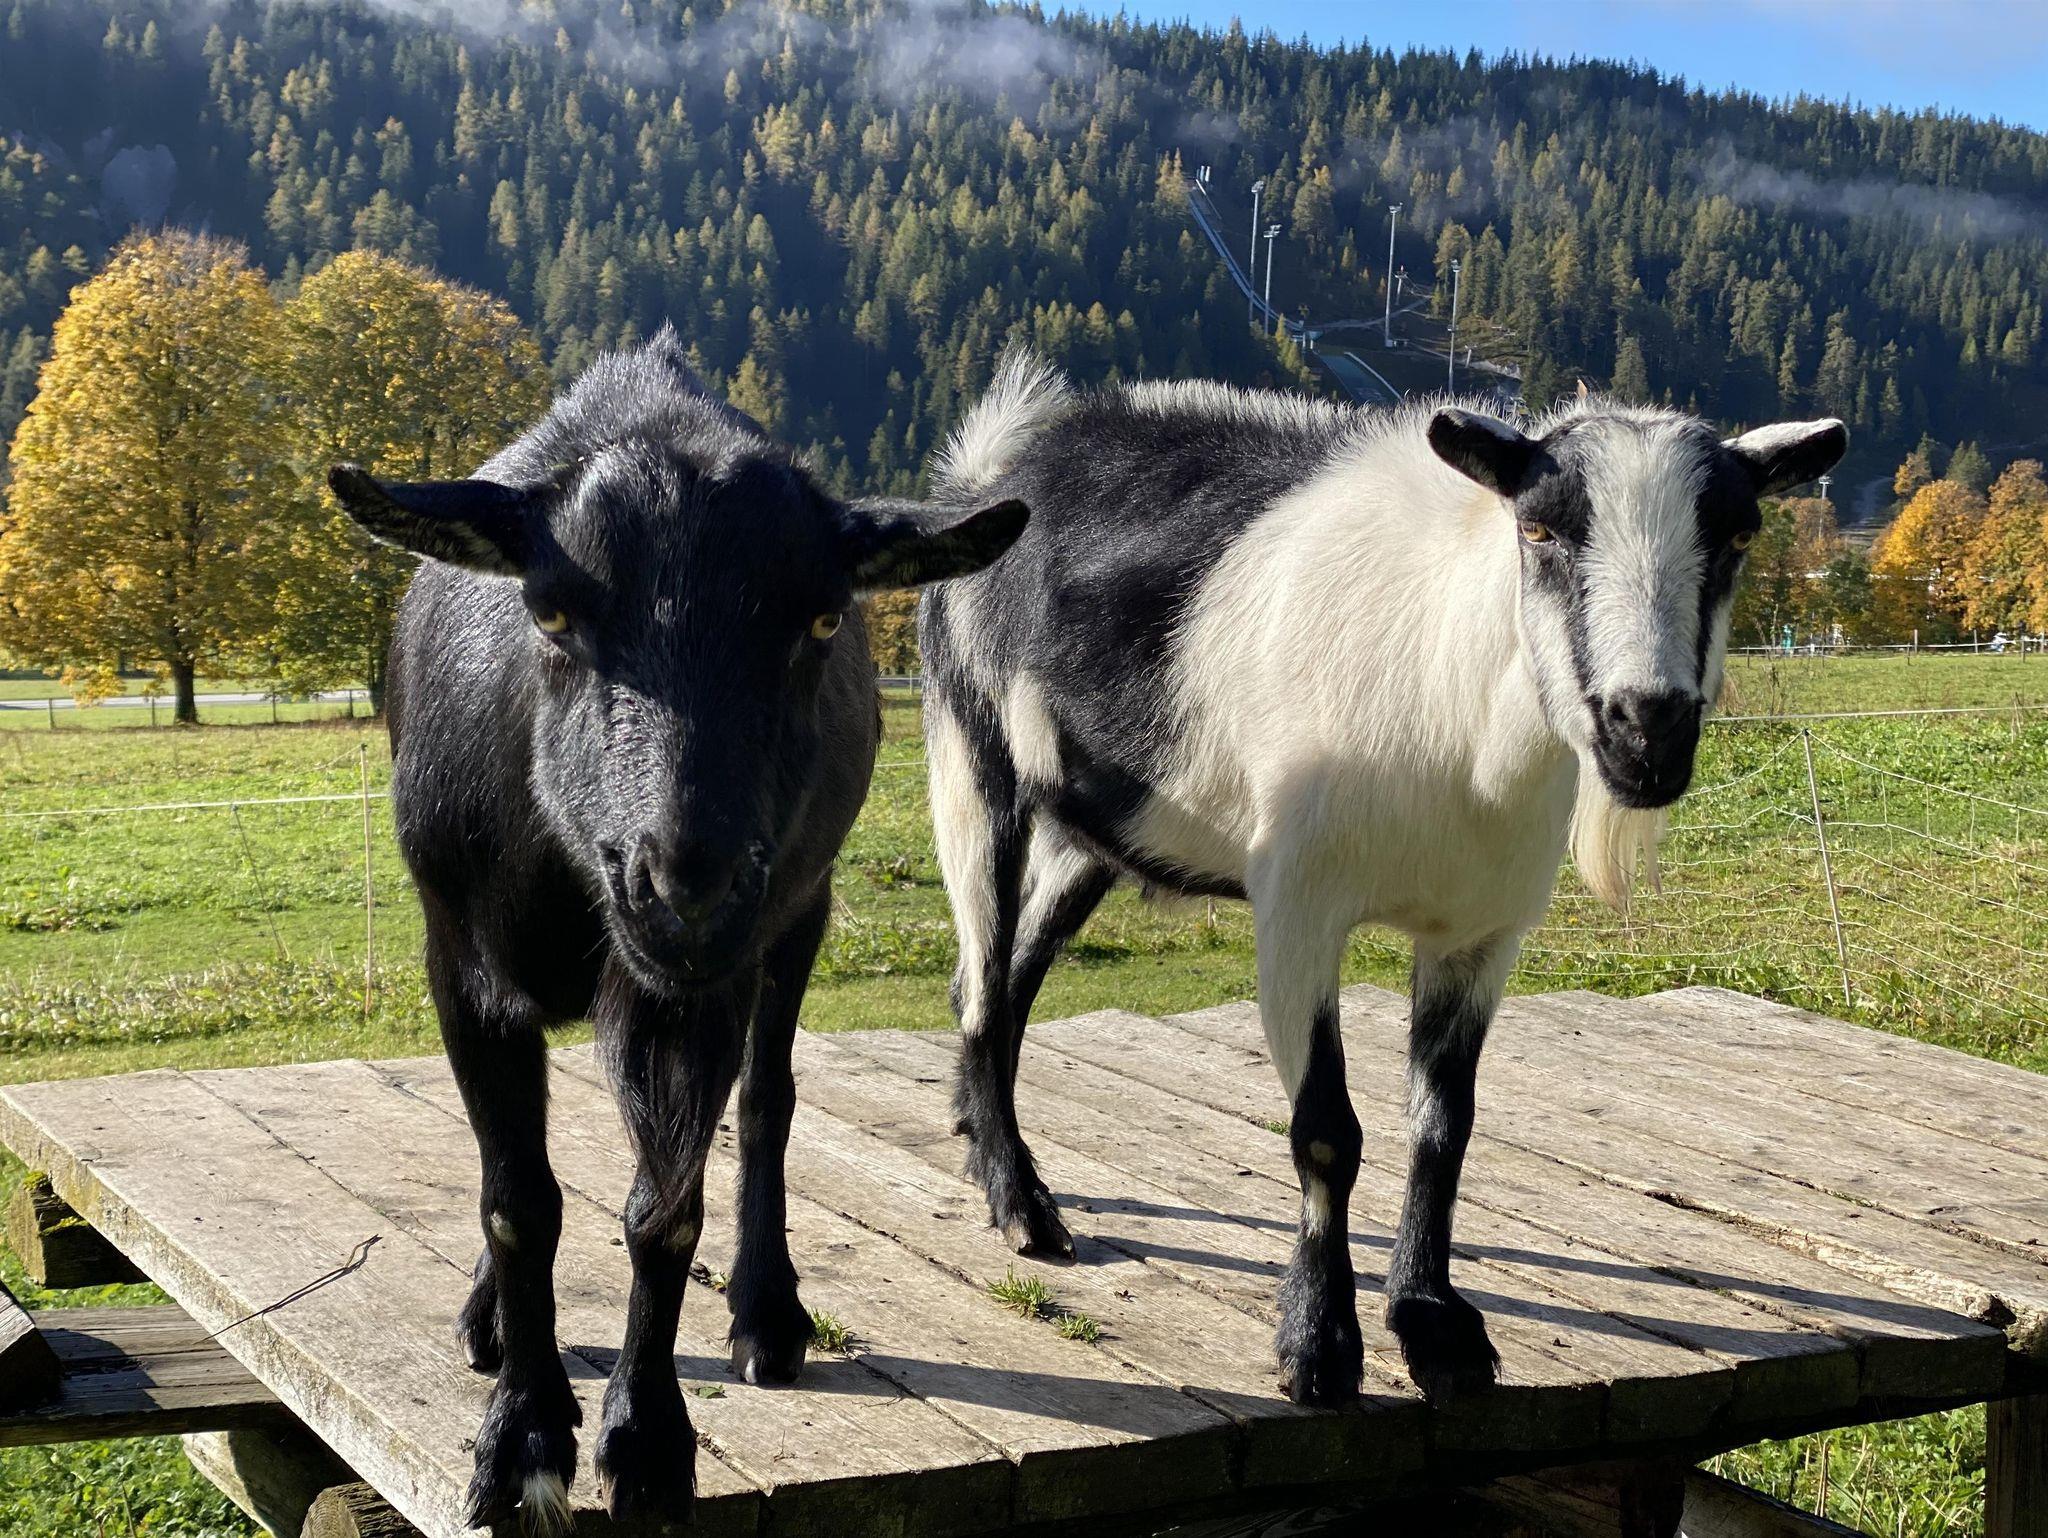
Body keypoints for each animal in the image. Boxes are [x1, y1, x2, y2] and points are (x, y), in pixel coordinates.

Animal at [327, 328, 1026, 1533]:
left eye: (822, 619)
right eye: (551, 612)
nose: (683, 887)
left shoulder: (697, 984)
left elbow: (665, 1210)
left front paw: (645, 1438)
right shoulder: (458, 956)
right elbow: (516, 1200)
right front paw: (524, 1435)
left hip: (798, 911)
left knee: (769, 1096)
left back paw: (767, 1311)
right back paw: (491, 1319)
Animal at [918, 356, 1843, 1406]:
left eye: (1739, 534)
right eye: (1539, 529)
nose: (1645, 729)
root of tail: (998, 460)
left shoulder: (1478, 934)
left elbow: (1444, 1127)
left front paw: (1434, 1324)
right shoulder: (1298, 909)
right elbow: (1328, 1131)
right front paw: (1319, 1343)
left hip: (1099, 828)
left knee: (1011, 977)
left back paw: (981, 1143)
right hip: (972, 757)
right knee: (983, 982)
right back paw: (1019, 1203)